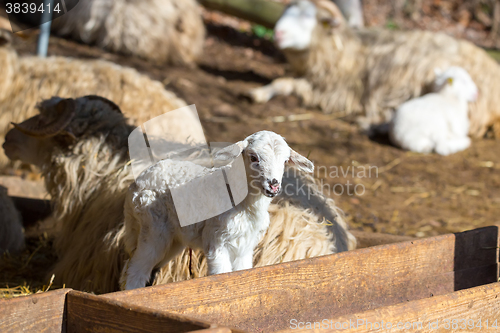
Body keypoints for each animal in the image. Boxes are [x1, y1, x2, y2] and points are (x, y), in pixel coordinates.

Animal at [120, 131, 312, 290]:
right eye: (253, 157)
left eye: (285, 161)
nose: (273, 185)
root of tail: (136, 183)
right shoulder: (217, 239)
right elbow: (221, 275)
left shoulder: (246, 245)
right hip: (153, 226)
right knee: (137, 269)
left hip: (174, 238)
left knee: (152, 267)